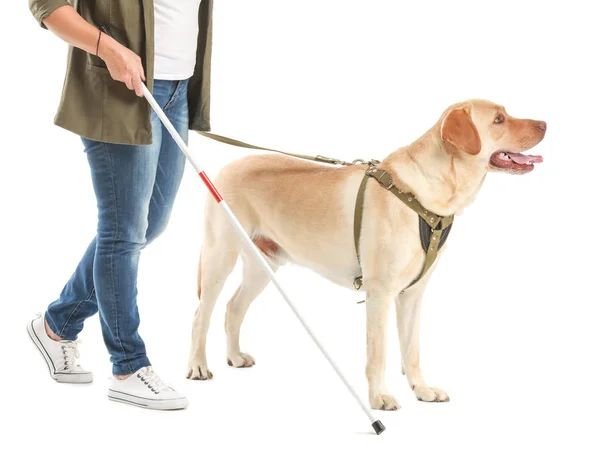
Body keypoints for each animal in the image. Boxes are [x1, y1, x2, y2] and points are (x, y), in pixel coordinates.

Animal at [189, 99, 548, 410]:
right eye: (499, 119)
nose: (545, 123)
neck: (425, 197)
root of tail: (228, 166)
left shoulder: (413, 294)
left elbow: (412, 349)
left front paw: (422, 389)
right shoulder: (380, 293)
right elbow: (378, 354)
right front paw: (379, 398)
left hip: (263, 265)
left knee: (233, 308)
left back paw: (235, 356)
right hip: (219, 256)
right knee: (201, 315)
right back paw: (197, 366)